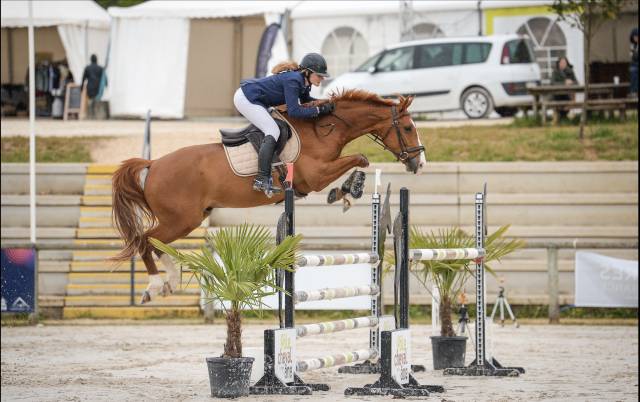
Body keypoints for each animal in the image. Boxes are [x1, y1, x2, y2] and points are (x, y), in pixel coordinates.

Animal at [110, 89, 426, 303]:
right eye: (408, 128)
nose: (419, 163)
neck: (322, 129)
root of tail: (153, 165)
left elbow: (359, 161)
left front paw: (345, 191)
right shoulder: (315, 175)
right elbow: (360, 158)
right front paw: (346, 190)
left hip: (189, 218)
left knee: (154, 242)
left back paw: (168, 282)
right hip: (182, 220)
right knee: (146, 240)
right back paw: (156, 285)